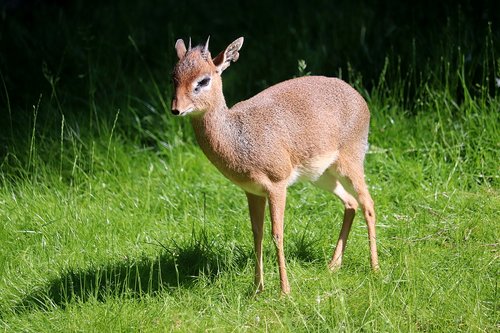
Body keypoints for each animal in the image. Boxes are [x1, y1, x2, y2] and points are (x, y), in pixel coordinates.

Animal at [172, 37, 378, 294]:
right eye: (174, 76)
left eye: (204, 80)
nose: (176, 108)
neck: (238, 137)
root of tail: (359, 97)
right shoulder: (252, 191)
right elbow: (257, 234)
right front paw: (257, 289)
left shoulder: (277, 184)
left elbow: (277, 234)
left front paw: (284, 291)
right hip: (322, 176)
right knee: (351, 203)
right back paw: (333, 265)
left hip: (350, 163)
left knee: (368, 204)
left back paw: (375, 268)